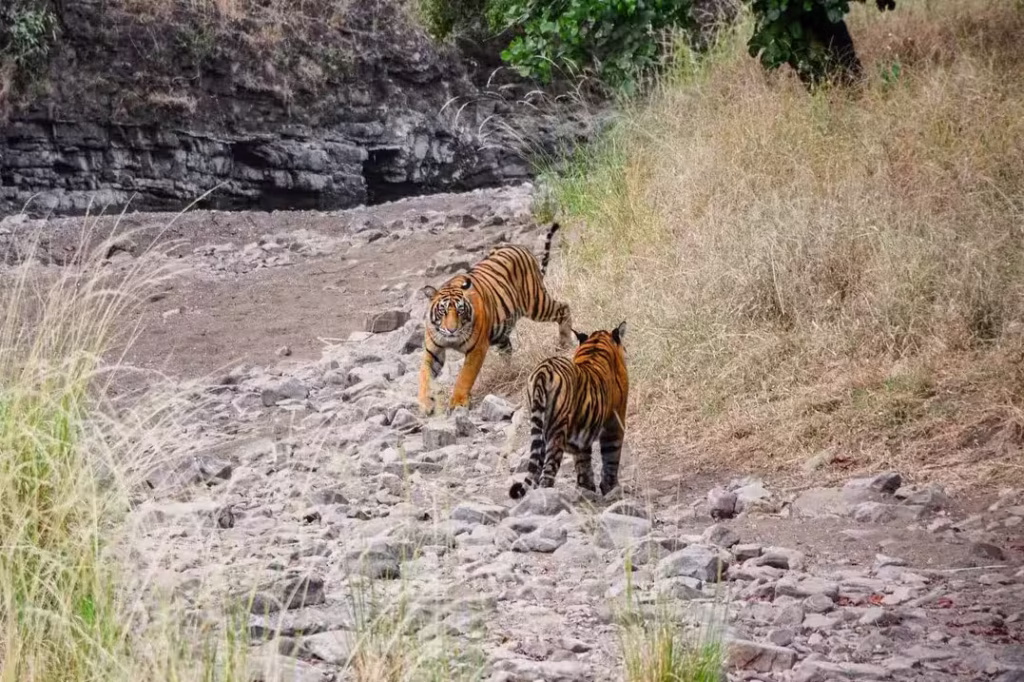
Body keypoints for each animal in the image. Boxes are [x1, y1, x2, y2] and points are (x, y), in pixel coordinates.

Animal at [418, 222, 573, 415]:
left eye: (460, 311)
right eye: (443, 311)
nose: (452, 330)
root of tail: (520, 247)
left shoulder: (477, 349)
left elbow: (465, 376)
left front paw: (458, 402)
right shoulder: (433, 351)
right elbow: (424, 376)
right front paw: (425, 403)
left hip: (536, 304)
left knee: (564, 307)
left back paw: (565, 343)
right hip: (503, 331)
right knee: (508, 349)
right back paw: (509, 371)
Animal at [508, 321, 629, 499]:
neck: (597, 342)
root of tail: (542, 372)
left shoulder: (583, 430)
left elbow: (582, 461)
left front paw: (586, 488)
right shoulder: (615, 422)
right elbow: (611, 456)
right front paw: (611, 488)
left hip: (539, 427)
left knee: (536, 469)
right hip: (556, 432)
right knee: (547, 472)